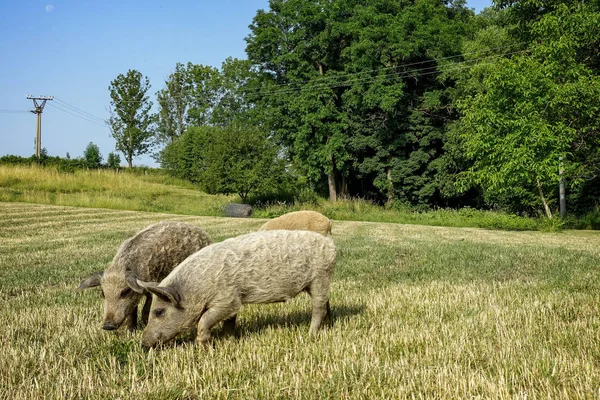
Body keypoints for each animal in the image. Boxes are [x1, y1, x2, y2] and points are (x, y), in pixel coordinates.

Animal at [78, 222, 211, 332]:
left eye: (125, 292)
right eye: (103, 293)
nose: (107, 326)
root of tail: (205, 234)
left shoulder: (152, 281)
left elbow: (147, 307)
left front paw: (145, 323)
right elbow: (133, 310)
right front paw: (131, 330)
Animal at [136, 230, 338, 348]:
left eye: (159, 312)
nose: (143, 343)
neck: (197, 288)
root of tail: (331, 245)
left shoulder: (227, 299)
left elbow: (204, 320)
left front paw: (202, 347)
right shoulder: (232, 301)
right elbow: (229, 322)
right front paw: (229, 340)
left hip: (320, 276)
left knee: (318, 308)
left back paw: (310, 334)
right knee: (326, 303)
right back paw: (329, 324)